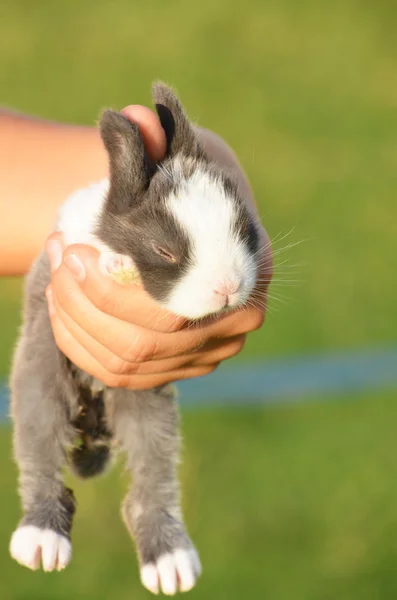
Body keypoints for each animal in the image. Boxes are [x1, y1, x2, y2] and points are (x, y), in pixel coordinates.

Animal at [7, 81, 262, 596]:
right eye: (164, 250)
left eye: (243, 227)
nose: (227, 287)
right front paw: (118, 267)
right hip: (39, 378)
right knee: (41, 456)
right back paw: (42, 541)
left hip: (149, 409)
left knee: (151, 484)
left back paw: (171, 565)